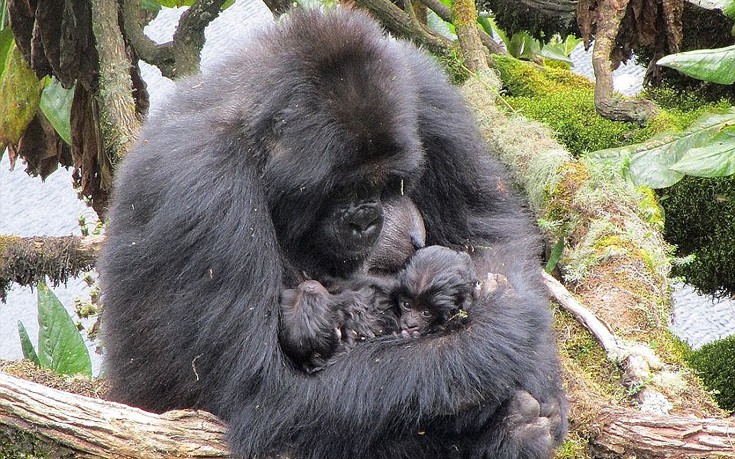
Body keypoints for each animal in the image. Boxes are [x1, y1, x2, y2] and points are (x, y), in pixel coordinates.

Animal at [99, 7, 568, 459]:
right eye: (343, 189)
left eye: (388, 184)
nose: (366, 220)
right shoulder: (201, 188)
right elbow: (264, 394)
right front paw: (498, 333)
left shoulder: (427, 89)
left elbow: (489, 231)